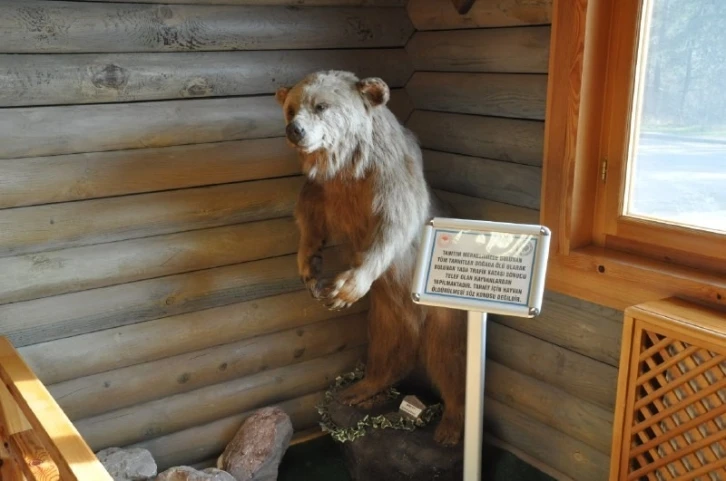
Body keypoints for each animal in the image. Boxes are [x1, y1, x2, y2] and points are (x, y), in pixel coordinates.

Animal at [276, 69, 470, 444]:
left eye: (321, 105)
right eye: (291, 108)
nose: (296, 130)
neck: (348, 167)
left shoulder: (389, 181)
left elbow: (393, 227)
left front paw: (346, 287)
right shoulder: (324, 190)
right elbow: (308, 218)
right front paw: (309, 267)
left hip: (446, 313)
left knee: (452, 360)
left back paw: (451, 426)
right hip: (385, 313)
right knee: (385, 349)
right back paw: (358, 389)